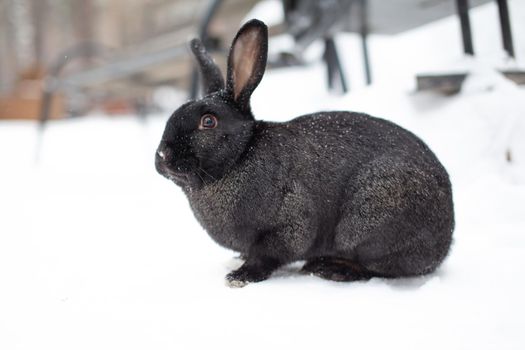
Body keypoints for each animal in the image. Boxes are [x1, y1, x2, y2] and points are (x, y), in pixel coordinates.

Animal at [154, 19, 452, 288]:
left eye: (208, 122)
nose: (162, 156)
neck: (239, 157)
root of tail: (446, 241)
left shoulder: (289, 223)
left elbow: (268, 255)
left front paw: (239, 276)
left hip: (371, 219)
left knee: (377, 268)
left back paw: (330, 269)